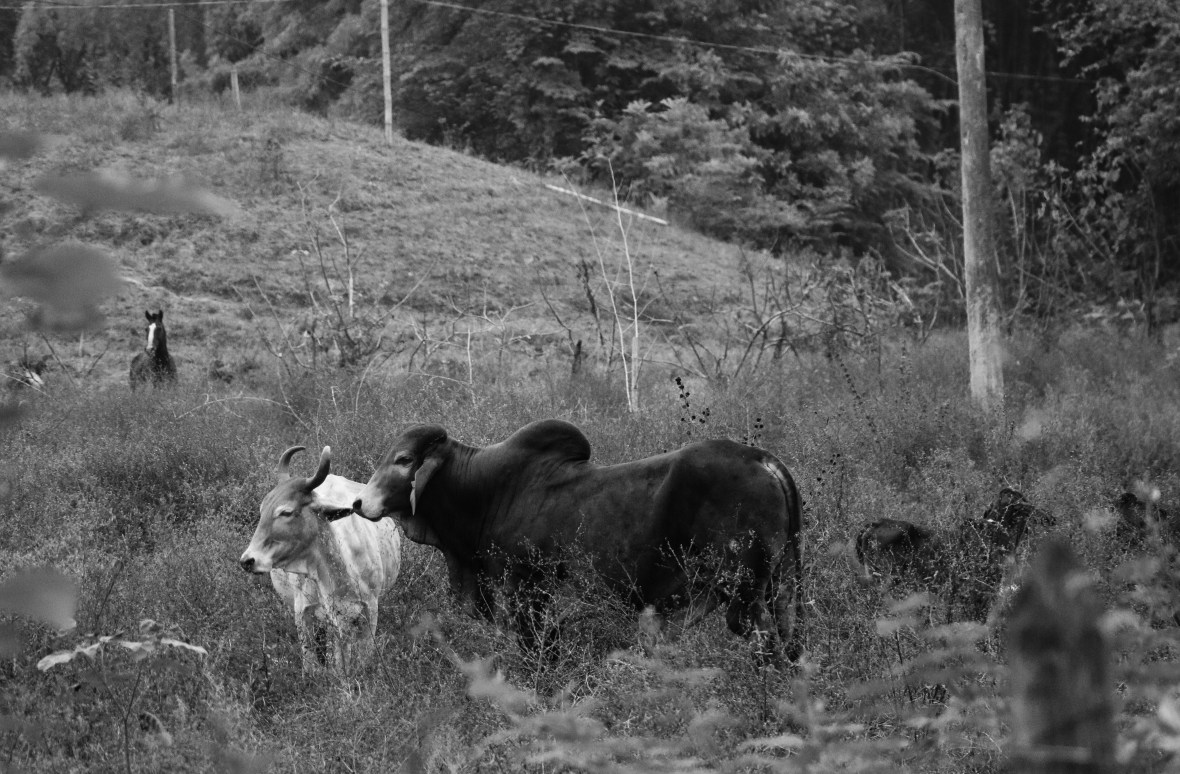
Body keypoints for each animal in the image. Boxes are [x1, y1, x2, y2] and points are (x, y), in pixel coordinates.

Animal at [240, 445, 402, 675]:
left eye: (286, 512)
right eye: (262, 511)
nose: (248, 560)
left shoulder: (369, 610)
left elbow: (357, 660)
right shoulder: (304, 612)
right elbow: (313, 665)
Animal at [348, 419, 804, 663]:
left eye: (404, 460)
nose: (358, 502)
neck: (484, 492)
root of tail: (764, 460)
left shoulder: (524, 589)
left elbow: (536, 650)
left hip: (743, 590)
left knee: (765, 642)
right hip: (778, 585)